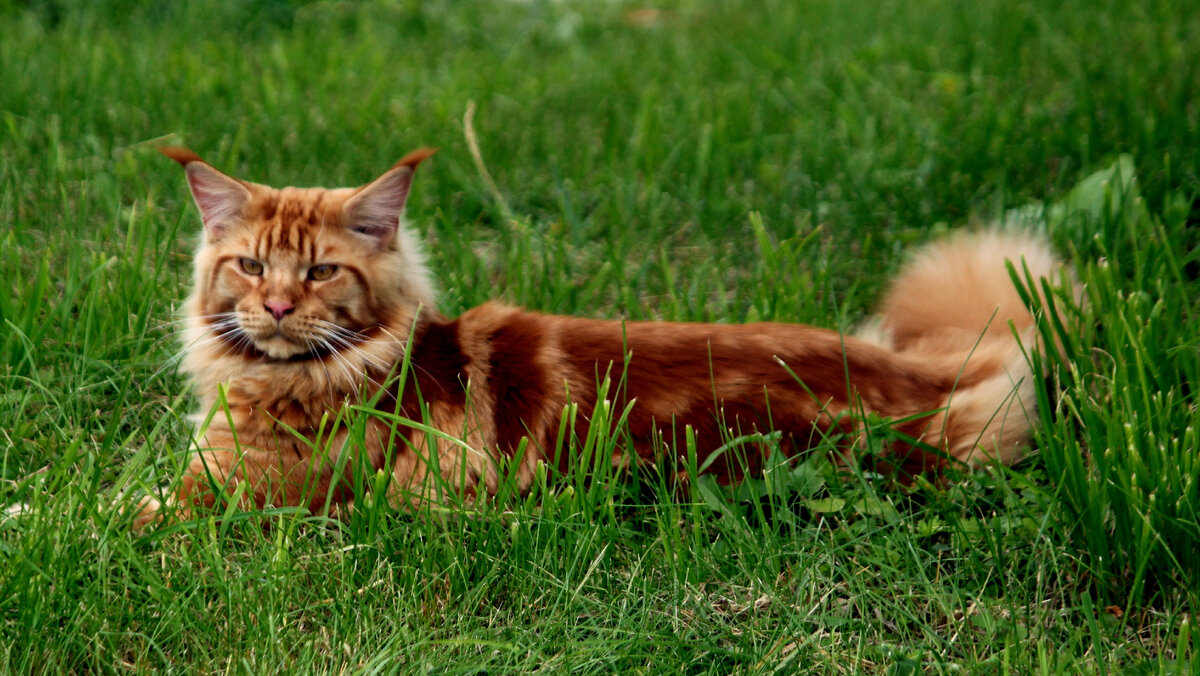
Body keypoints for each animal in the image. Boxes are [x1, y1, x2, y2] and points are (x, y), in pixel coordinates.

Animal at [145, 148, 1075, 525]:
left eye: (319, 273)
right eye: (249, 266)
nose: (273, 309)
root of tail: (930, 379)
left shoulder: (241, 493)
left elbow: (125, 515)